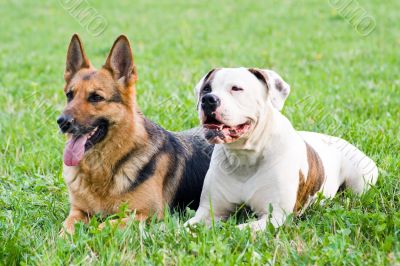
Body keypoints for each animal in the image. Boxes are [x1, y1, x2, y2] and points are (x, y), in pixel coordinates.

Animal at [58, 34, 214, 234]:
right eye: (69, 95)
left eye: (96, 97)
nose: (62, 122)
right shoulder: (78, 211)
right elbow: (65, 227)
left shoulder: (147, 215)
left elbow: (103, 225)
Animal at [185, 67, 378, 231]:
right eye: (206, 89)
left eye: (236, 88)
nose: (208, 99)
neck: (245, 158)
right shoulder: (208, 211)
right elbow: (186, 228)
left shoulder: (275, 216)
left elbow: (239, 230)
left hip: (359, 181)